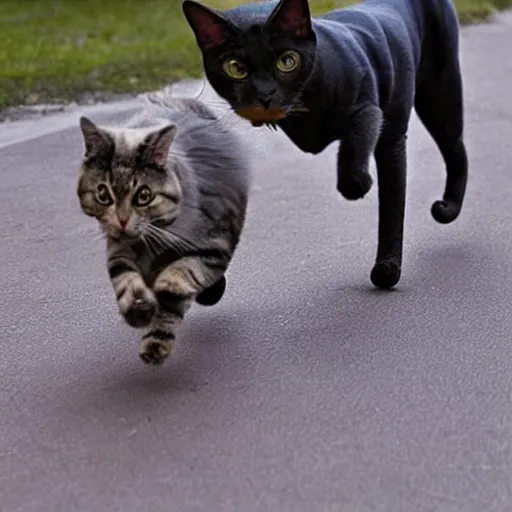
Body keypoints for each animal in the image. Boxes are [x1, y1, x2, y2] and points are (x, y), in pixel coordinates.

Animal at [77, 96, 251, 366]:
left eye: (143, 195)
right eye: (103, 195)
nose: (123, 220)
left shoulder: (212, 248)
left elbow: (174, 286)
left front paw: (156, 341)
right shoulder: (118, 249)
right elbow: (124, 278)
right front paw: (138, 307)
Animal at [183, 0, 468, 288]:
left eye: (288, 61)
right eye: (235, 68)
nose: (265, 94)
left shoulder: (370, 112)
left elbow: (384, 197)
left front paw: (386, 267)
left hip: (438, 96)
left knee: (455, 150)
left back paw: (448, 208)